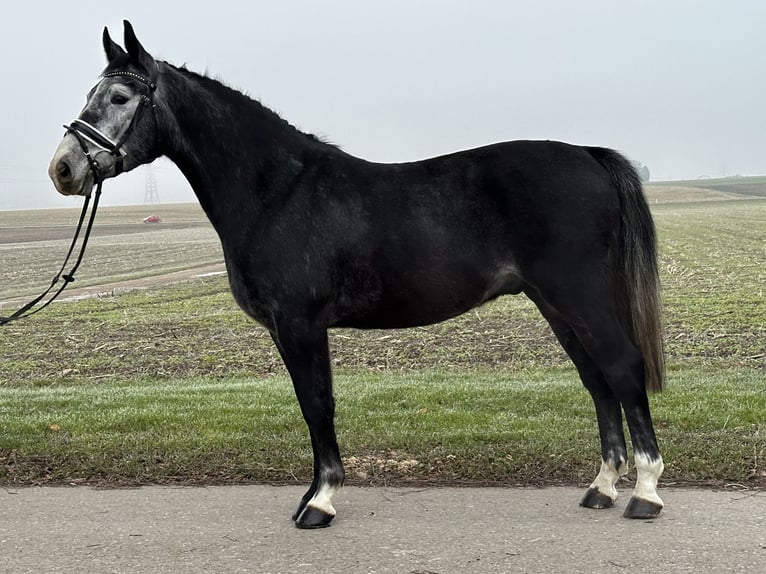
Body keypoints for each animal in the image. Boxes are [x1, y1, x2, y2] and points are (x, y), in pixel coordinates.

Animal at [48, 20, 664, 532]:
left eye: (120, 97)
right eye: (90, 95)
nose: (63, 169)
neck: (277, 190)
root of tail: (586, 155)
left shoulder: (300, 326)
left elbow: (316, 404)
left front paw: (320, 502)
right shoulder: (290, 330)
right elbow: (313, 406)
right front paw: (312, 495)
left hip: (581, 297)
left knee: (622, 369)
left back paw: (646, 493)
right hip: (555, 303)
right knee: (597, 381)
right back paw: (602, 488)